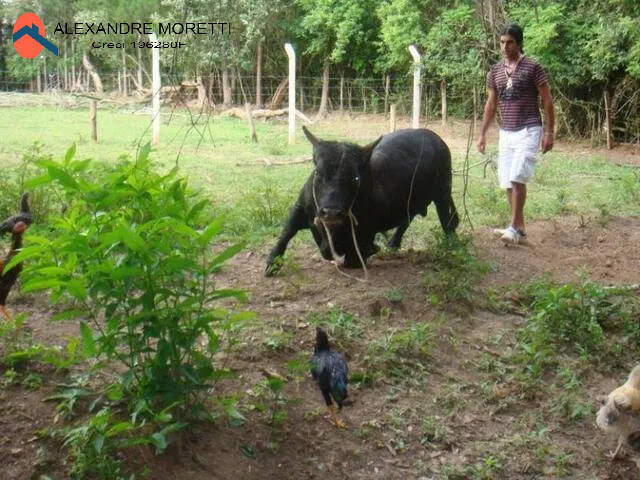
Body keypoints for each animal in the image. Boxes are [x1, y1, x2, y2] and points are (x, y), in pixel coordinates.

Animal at [264, 127, 460, 276]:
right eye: (318, 173)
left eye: (355, 178)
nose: (331, 212)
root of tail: (434, 137)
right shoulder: (300, 208)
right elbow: (287, 232)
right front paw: (272, 263)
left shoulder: (366, 230)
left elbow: (355, 254)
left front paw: (370, 249)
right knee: (408, 218)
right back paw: (393, 243)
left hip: (442, 194)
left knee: (447, 222)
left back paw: (454, 246)